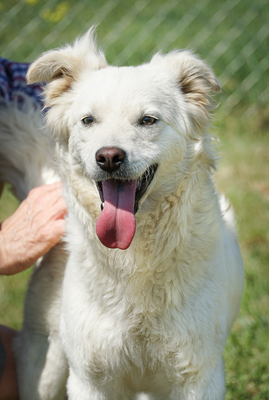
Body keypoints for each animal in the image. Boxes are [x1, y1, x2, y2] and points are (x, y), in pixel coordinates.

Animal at [1, 28, 243, 400]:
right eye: (88, 120)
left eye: (148, 120)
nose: (109, 157)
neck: (134, 260)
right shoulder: (90, 379)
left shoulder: (198, 377)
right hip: (46, 365)